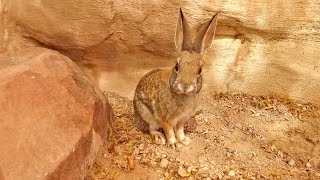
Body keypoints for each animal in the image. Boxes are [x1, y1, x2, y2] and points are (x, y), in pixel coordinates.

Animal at [132, 7, 218, 147]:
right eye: (177, 66)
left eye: (199, 70)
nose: (185, 86)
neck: (183, 95)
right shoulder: (165, 118)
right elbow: (169, 131)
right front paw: (173, 144)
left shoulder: (182, 118)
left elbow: (179, 129)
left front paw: (184, 140)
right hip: (147, 114)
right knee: (151, 129)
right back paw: (159, 138)